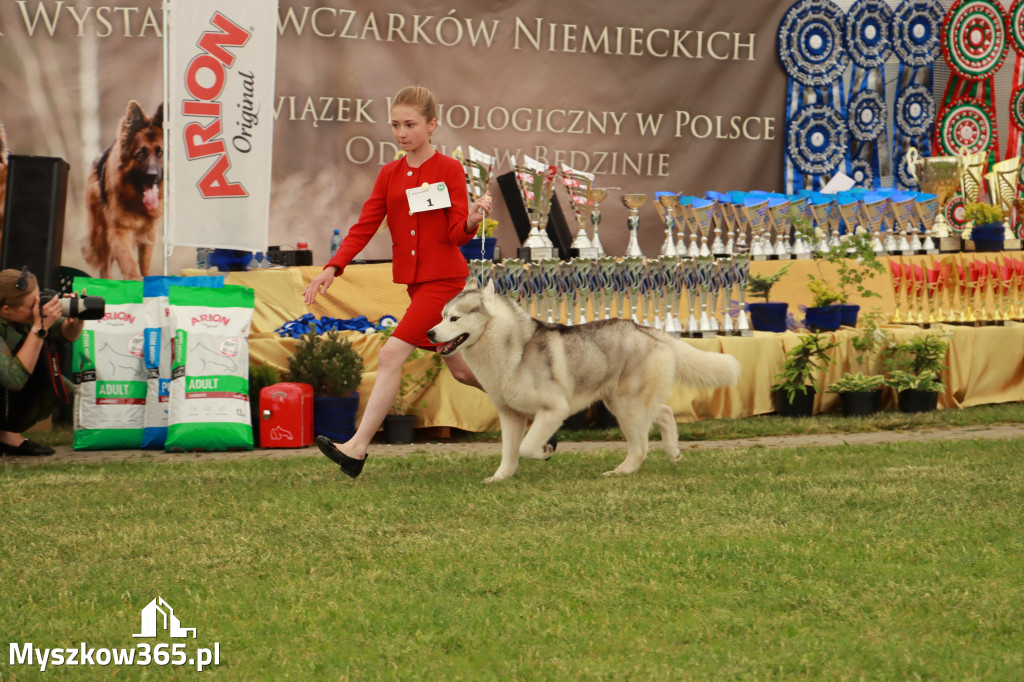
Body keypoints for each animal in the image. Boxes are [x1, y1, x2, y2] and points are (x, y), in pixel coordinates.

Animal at [428, 278, 741, 481]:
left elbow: (526, 447)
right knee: (664, 413)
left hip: (626, 407)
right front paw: (500, 478)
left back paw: (621, 471)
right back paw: (673, 452)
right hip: (624, 401)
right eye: (441, 315)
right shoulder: (510, 415)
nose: (430, 334)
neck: (511, 349)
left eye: (454, 319)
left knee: (641, 446)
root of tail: (645, 329)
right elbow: (509, 452)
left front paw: (544, 451)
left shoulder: (554, 410)